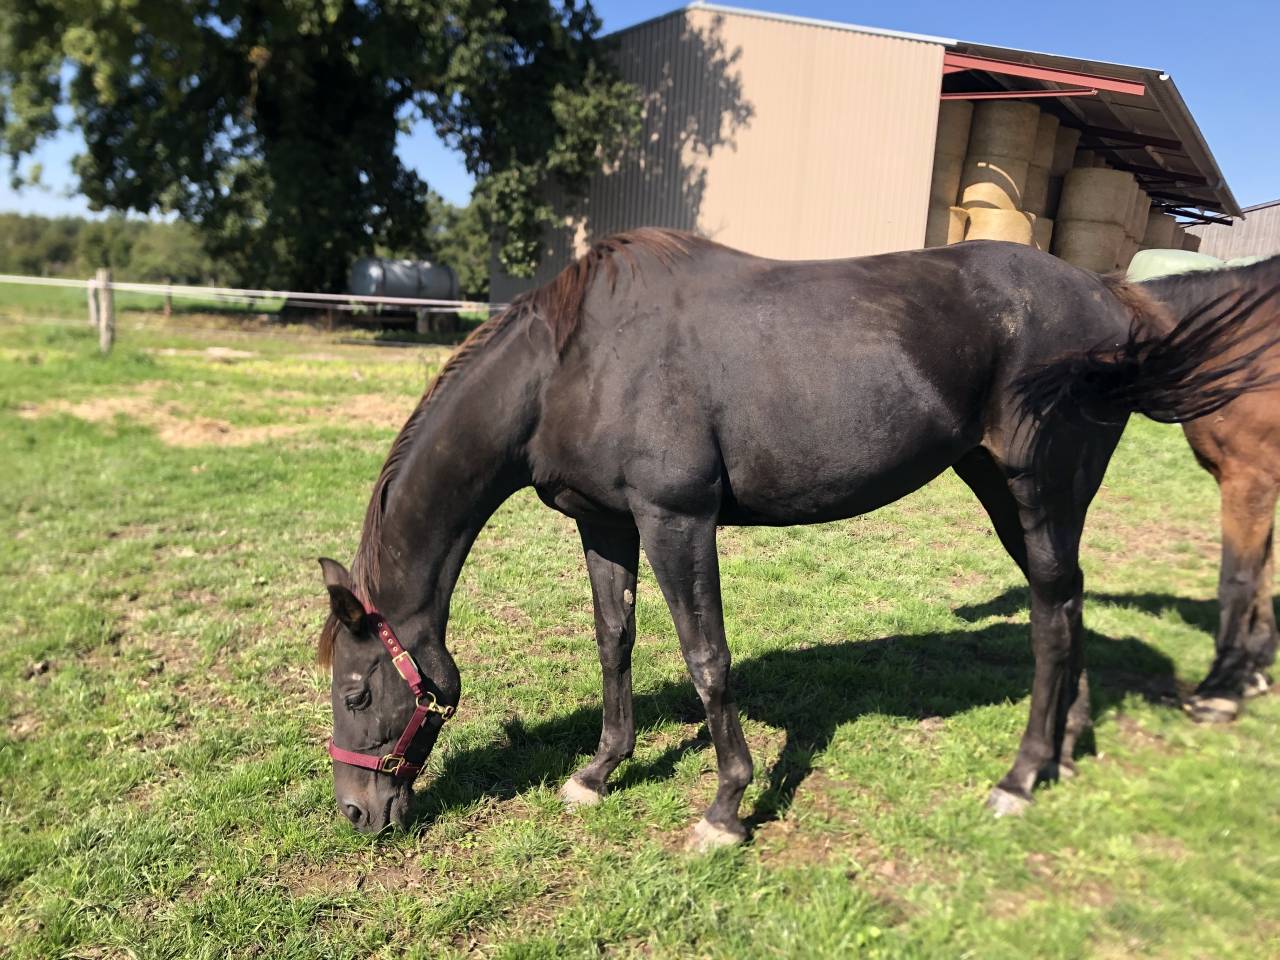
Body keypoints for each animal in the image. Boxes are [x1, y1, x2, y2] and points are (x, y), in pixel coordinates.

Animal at [1133, 254, 1280, 723]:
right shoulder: (1257, 482)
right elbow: (1263, 572)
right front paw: (1252, 672)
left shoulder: (1249, 480)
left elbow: (1237, 579)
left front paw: (1219, 690)